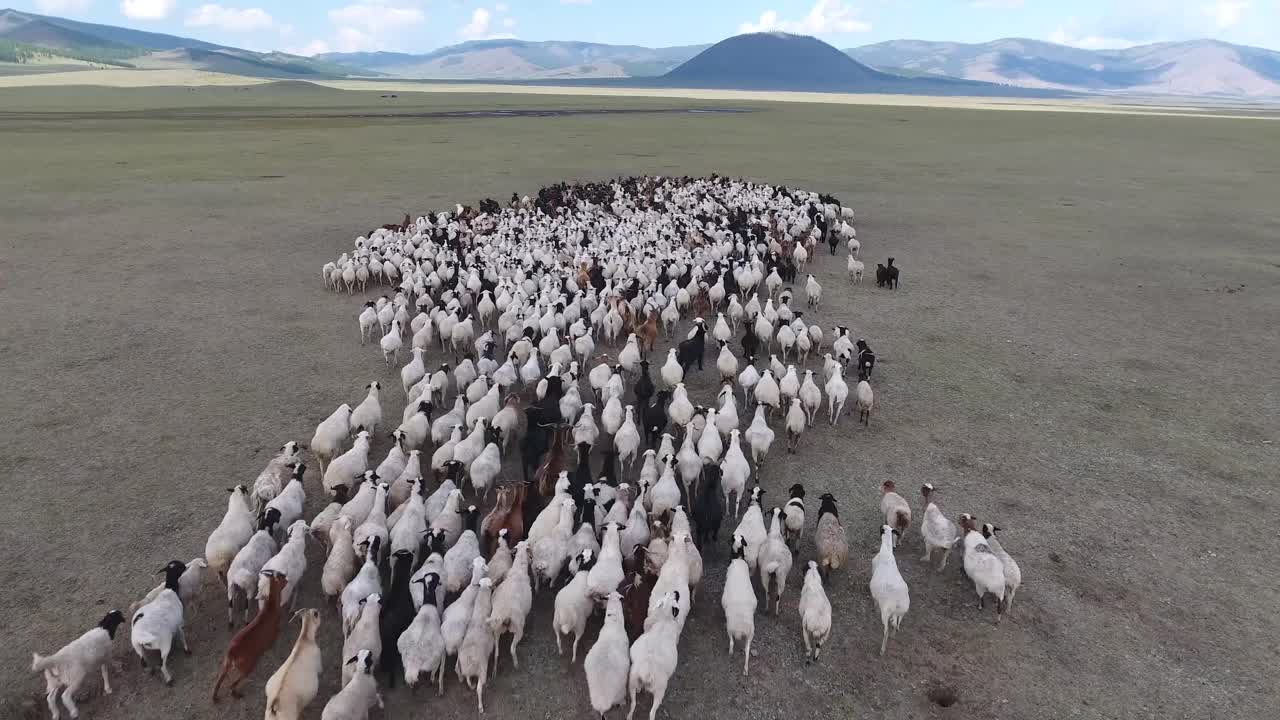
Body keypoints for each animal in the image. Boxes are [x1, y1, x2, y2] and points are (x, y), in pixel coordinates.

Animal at [627, 591, 684, 720]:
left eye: (666, 594)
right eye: (675, 599)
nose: (676, 592)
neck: (664, 618)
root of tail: (647, 672)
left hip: (632, 681)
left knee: (633, 703)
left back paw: (629, 715)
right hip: (660, 690)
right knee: (652, 712)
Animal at [720, 536, 757, 676]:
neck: (738, 558)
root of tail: (741, 629)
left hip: (730, 628)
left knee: (731, 642)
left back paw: (730, 653)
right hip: (750, 634)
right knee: (747, 651)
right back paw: (745, 670)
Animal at [870, 525, 910, 655]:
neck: (886, 551)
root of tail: (898, 603)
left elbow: (874, 600)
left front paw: (875, 608)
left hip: (886, 612)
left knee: (886, 631)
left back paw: (882, 650)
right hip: (902, 611)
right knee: (897, 624)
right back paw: (894, 633)